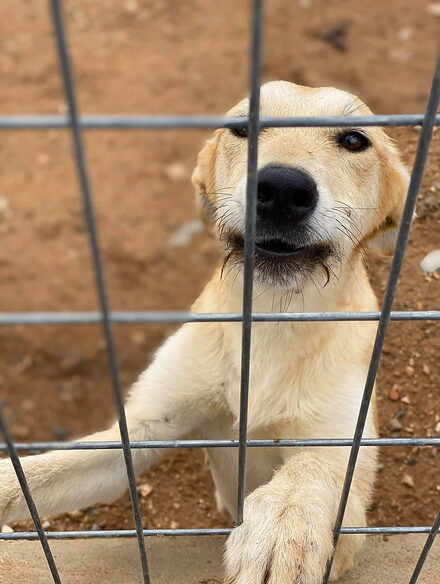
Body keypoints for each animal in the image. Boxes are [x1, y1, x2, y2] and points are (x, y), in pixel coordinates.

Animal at [0, 83, 410, 584]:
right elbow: (47, 470)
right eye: (241, 128)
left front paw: (283, 518)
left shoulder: (343, 472)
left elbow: (312, 469)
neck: (271, 322)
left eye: (355, 141)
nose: (282, 189)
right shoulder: (144, 427)